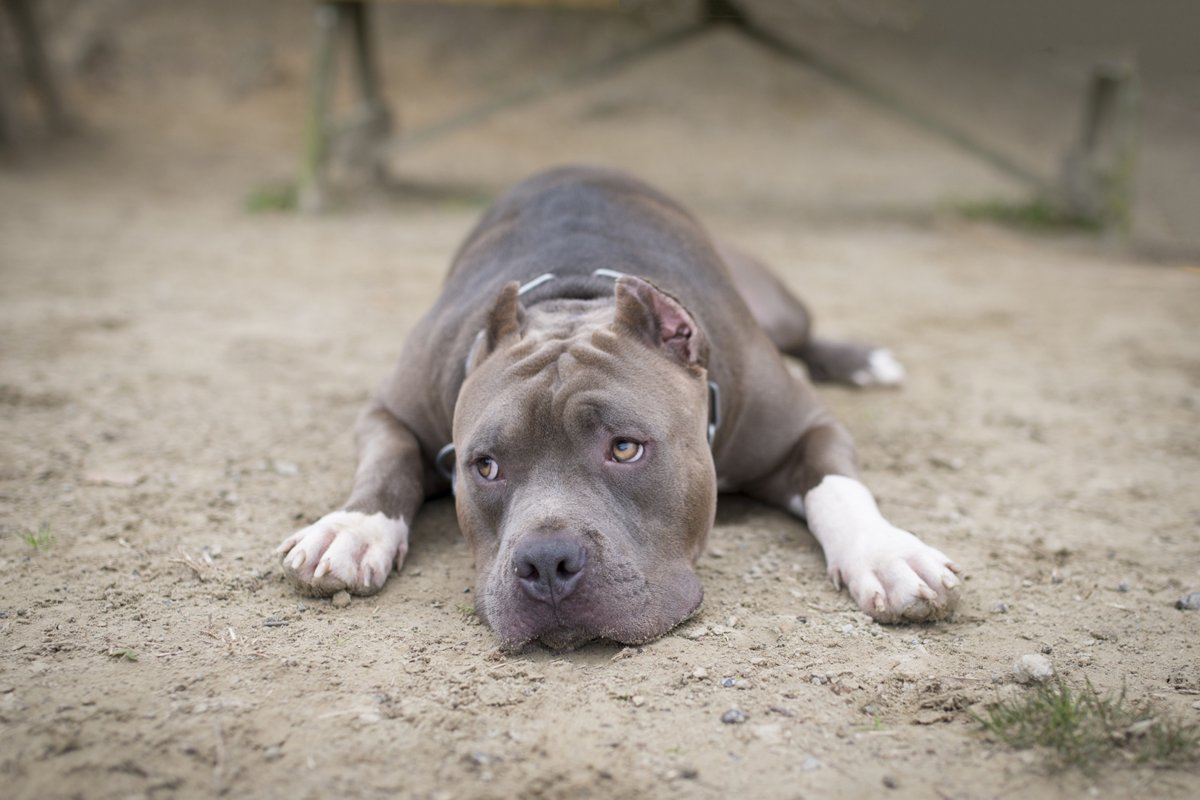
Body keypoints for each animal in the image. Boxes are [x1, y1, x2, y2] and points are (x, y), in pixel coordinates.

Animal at [276, 167, 960, 652]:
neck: (574, 296)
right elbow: (388, 458)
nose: (545, 563)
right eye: (485, 466)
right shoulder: (391, 407)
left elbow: (838, 487)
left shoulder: (805, 427)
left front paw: (887, 554)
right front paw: (352, 528)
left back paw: (863, 360)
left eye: (626, 448)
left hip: (778, 305)